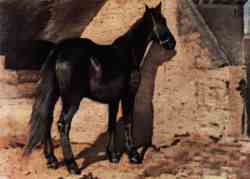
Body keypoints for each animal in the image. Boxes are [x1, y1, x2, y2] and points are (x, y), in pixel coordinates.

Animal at [23, 2, 176, 174]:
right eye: (162, 22)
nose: (172, 43)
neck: (129, 53)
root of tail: (58, 51)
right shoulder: (128, 96)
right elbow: (128, 122)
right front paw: (133, 156)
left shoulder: (113, 100)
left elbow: (111, 125)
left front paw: (113, 156)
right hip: (72, 99)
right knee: (63, 125)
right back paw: (72, 166)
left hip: (53, 95)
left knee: (47, 120)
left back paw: (52, 161)